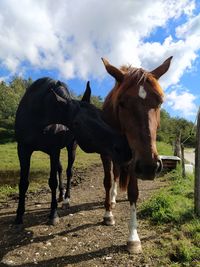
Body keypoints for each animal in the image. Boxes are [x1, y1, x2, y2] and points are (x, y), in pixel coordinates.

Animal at [15, 77, 131, 226]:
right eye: (76, 123)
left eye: (101, 114)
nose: (124, 148)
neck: (37, 113)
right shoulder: (23, 149)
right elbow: (23, 182)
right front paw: (19, 215)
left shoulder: (53, 150)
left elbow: (52, 181)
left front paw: (53, 215)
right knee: (60, 169)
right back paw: (60, 196)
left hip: (71, 147)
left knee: (69, 171)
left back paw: (66, 199)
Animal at [101, 56, 173, 253]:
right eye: (121, 102)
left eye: (159, 102)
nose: (149, 167)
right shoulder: (106, 154)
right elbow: (107, 181)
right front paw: (108, 214)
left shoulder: (135, 158)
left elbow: (133, 193)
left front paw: (133, 237)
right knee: (114, 176)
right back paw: (111, 201)